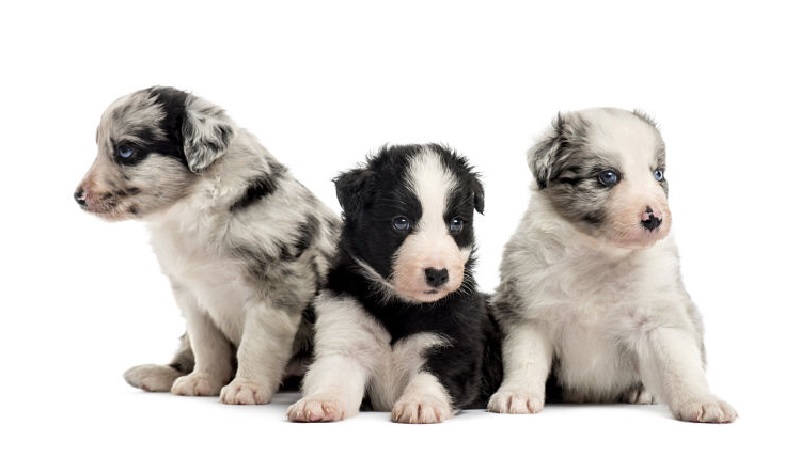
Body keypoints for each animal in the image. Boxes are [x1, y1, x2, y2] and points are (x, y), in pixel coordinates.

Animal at [286, 145, 500, 426]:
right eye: (401, 222)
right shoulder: (344, 338)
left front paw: (420, 403)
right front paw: (320, 402)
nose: (438, 274)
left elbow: (434, 377)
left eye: (456, 223)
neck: (399, 306)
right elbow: (333, 375)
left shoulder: (453, 341)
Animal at [484, 108, 736, 422]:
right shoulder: (528, 311)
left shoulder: (659, 314)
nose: (655, 218)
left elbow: (680, 365)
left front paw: (704, 402)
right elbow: (525, 358)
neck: (599, 256)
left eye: (658, 174)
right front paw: (516, 395)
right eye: (607, 177)